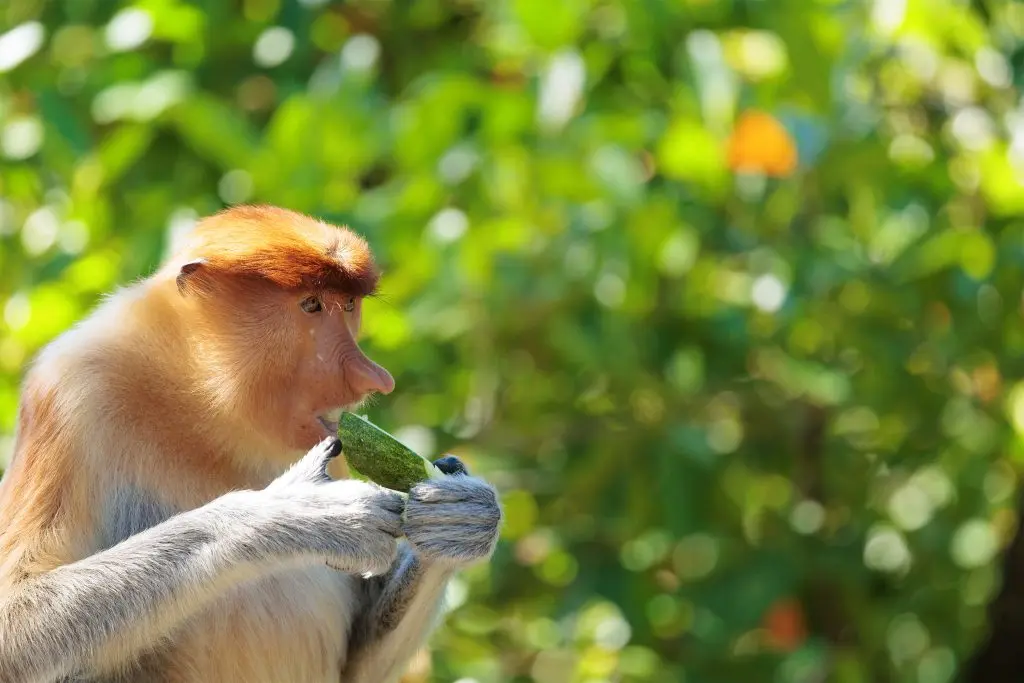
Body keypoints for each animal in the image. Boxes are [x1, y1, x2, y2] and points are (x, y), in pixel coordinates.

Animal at [0, 205, 502, 683]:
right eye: (311, 305)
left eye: (349, 305)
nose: (373, 377)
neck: (202, 408)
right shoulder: (71, 393)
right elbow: (15, 618)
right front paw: (300, 515)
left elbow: (358, 664)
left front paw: (463, 517)